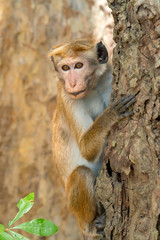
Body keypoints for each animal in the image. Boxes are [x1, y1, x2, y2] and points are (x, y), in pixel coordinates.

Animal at [49, 38, 136, 239]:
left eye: (79, 65)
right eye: (65, 68)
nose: (72, 84)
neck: (94, 86)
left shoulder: (108, 78)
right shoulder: (68, 98)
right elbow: (86, 149)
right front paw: (110, 114)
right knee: (81, 174)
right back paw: (93, 226)